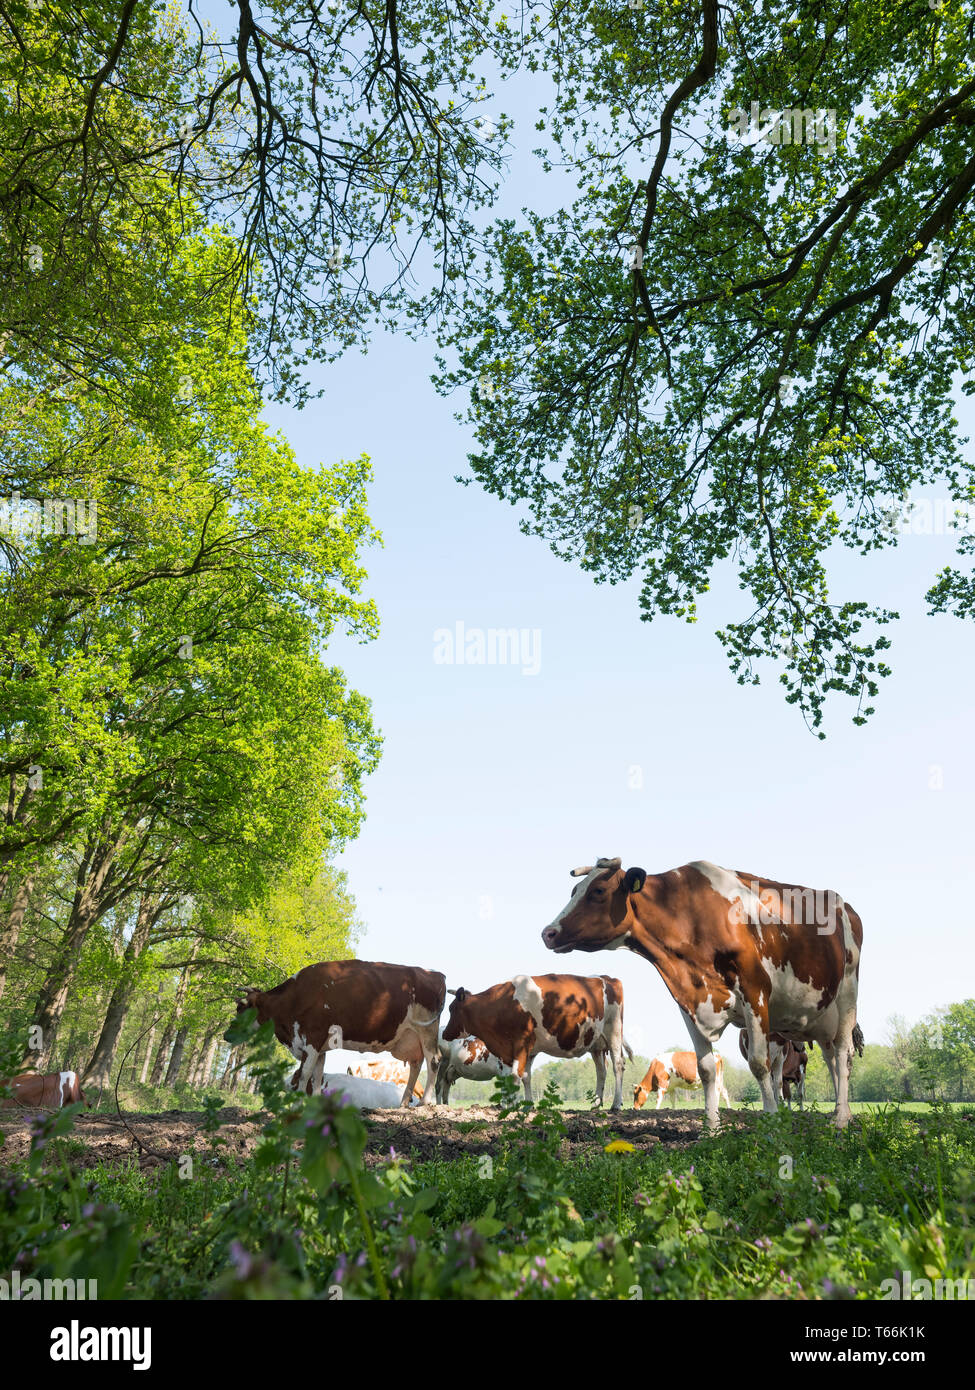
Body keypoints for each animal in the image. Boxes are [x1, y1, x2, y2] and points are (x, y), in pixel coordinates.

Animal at [236, 956, 445, 1106]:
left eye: (241, 1008)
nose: (229, 1035)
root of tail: (435, 974)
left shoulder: (312, 1038)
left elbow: (305, 1074)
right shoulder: (319, 1047)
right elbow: (317, 1076)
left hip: (427, 1029)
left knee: (433, 1060)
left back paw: (425, 1101)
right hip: (412, 1037)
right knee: (416, 1064)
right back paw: (403, 1103)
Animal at [436, 978, 631, 1106]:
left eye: (451, 1008)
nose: (445, 1033)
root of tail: (607, 979)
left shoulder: (520, 1045)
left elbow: (515, 1077)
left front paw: (512, 1107)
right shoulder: (515, 1051)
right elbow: (524, 1077)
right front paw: (525, 1105)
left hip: (614, 1031)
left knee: (617, 1065)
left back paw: (616, 1104)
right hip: (596, 1044)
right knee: (601, 1071)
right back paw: (597, 1103)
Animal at [539, 856, 856, 1128]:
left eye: (598, 891)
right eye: (574, 890)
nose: (548, 933)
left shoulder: (755, 992)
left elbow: (759, 1064)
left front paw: (772, 1122)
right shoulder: (688, 1001)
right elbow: (705, 1069)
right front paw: (711, 1128)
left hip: (847, 998)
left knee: (842, 1053)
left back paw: (840, 1120)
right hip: (819, 1019)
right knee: (831, 1058)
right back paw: (843, 1113)